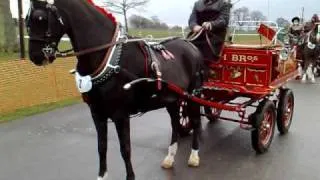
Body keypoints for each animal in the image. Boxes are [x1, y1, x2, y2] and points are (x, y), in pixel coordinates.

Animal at [26, 0, 204, 180]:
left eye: (40, 18)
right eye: (27, 20)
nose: (35, 56)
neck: (107, 57)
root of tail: (190, 45)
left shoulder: (120, 115)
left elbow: (125, 149)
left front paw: (130, 177)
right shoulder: (97, 113)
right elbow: (101, 147)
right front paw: (102, 175)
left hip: (192, 95)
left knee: (195, 121)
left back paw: (194, 155)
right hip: (172, 99)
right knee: (175, 123)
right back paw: (170, 157)